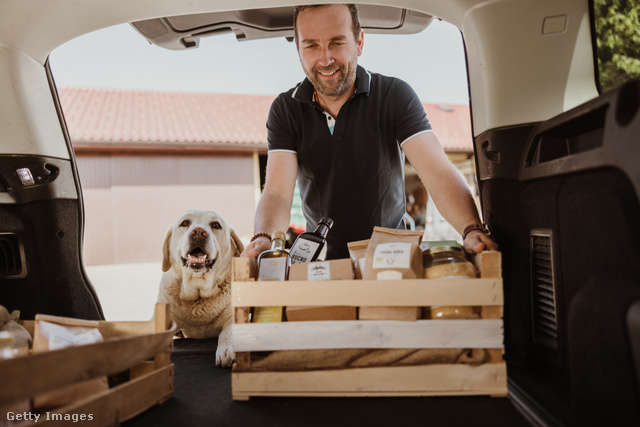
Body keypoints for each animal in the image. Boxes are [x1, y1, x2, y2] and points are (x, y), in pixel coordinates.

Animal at [157, 211, 242, 368]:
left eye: (216, 225)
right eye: (184, 223)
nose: (198, 232)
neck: (198, 295)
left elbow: (227, 333)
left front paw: (226, 350)